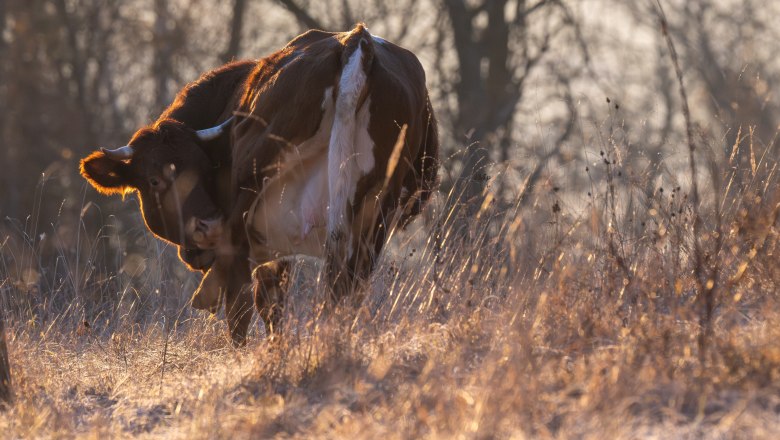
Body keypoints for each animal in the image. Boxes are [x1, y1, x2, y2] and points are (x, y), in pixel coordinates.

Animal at [84, 25, 444, 346]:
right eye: (156, 179)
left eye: (204, 170)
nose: (208, 224)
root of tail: (356, 41)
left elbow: (259, 304)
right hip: (372, 215)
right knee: (347, 292)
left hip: (251, 203)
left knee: (243, 302)